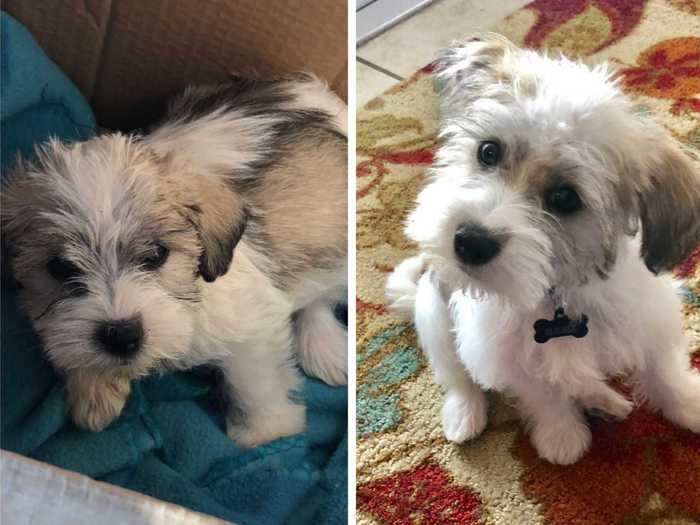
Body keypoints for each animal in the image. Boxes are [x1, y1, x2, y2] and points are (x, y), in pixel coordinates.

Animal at [2, 72, 348, 446]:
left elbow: (254, 383)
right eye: (60, 268)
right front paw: (94, 392)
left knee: (321, 295)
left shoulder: (254, 327)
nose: (121, 335)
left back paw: (324, 346)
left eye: (157, 255)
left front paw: (266, 431)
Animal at [386, 34, 700, 464]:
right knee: (456, 375)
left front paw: (687, 404)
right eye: (488, 151)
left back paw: (605, 399)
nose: (469, 241)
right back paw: (464, 415)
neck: (558, 293)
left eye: (564, 198)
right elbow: (545, 396)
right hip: (434, 315)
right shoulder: (509, 355)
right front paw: (562, 436)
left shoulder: (651, 320)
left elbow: (665, 372)